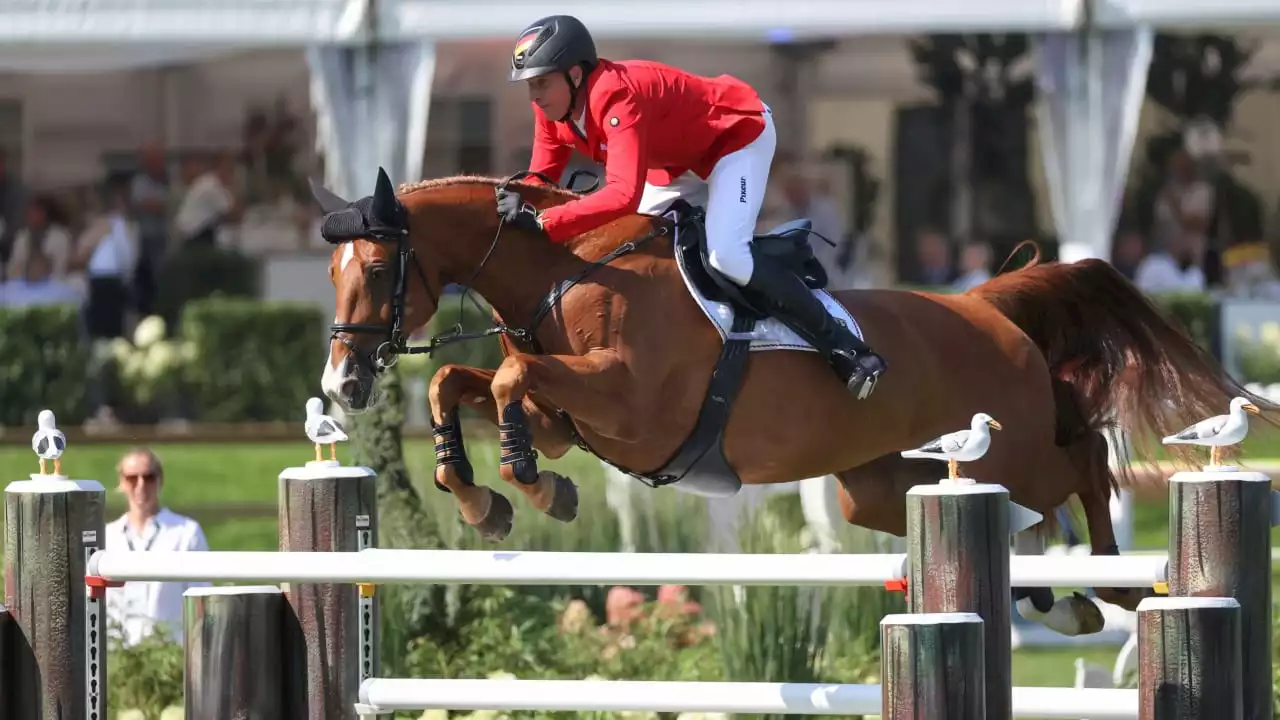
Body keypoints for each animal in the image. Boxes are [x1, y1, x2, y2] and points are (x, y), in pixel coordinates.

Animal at [314, 166, 1274, 632]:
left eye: (377, 267)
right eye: (333, 269)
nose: (342, 384)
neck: (570, 271)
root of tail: (984, 304)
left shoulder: (632, 408)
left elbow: (512, 384)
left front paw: (523, 485)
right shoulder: (574, 417)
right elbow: (463, 383)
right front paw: (487, 497)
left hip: (1009, 445)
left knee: (1082, 462)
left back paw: (1109, 584)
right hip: (883, 486)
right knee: (1012, 505)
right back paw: (1049, 589)